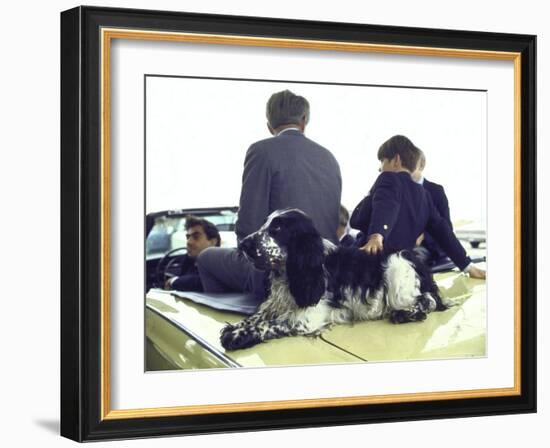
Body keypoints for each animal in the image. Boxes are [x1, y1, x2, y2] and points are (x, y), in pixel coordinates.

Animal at [220, 208, 448, 352]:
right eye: (265, 224)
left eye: (277, 229)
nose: (243, 244)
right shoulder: (277, 303)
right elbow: (257, 317)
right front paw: (235, 327)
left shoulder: (309, 316)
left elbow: (272, 324)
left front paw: (237, 336)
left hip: (396, 267)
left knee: (429, 300)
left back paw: (405, 314)